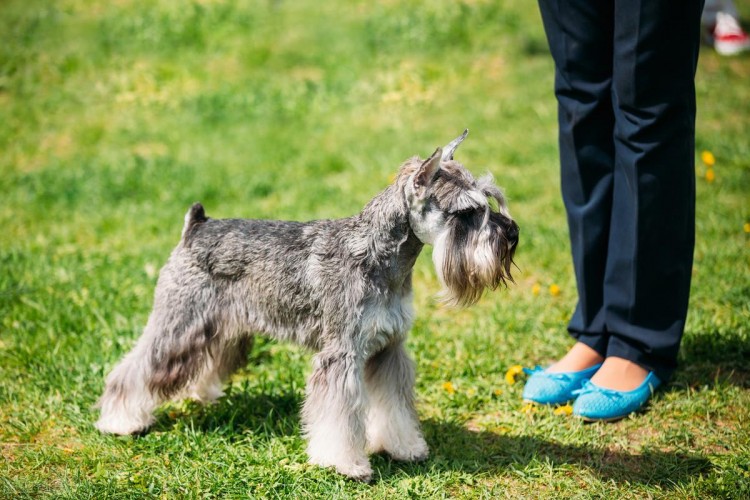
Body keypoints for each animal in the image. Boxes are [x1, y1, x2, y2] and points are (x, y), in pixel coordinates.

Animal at [97, 131, 520, 482]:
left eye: (489, 199)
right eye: (466, 212)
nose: (513, 233)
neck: (380, 256)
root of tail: (196, 225)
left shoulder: (388, 349)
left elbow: (394, 407)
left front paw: (405, 447)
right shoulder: (341, 354)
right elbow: (339, 417)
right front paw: (346, 464)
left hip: (223, 327)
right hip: (180, 323)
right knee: (136, 368)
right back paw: (120, 421)